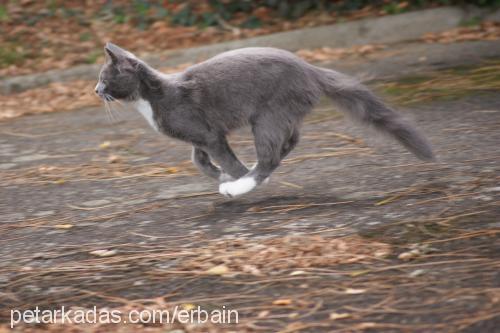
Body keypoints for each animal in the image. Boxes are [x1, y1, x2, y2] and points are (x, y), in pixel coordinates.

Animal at [94, 41, 434, 197]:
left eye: (104, 78)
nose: (95, 90)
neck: (153, 97)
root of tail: (309, 68)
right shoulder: (200, 136)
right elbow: (197, 159)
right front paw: (220, 175)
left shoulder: (209, 133)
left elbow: (225, 158)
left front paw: (234, 178)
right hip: (284, 113)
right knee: (290, 141)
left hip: (269, 114)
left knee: (270, 153)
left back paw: (246, 183)